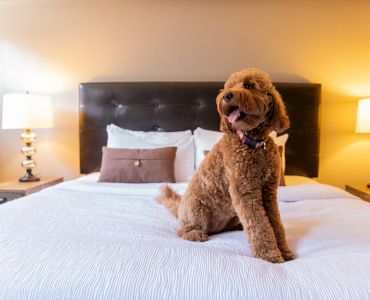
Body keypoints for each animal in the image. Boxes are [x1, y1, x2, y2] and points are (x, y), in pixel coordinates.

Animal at [158, 67, 296, 262]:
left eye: (249, 85)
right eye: (228, 87)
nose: (227, 96)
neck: (252, 143)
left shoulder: (268, 192)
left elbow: (275, 223)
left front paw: (284, 250)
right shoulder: (245, 191)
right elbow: (260, 225)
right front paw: (269, 255)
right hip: (195, 208)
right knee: (182, 230)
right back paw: (195, 234)